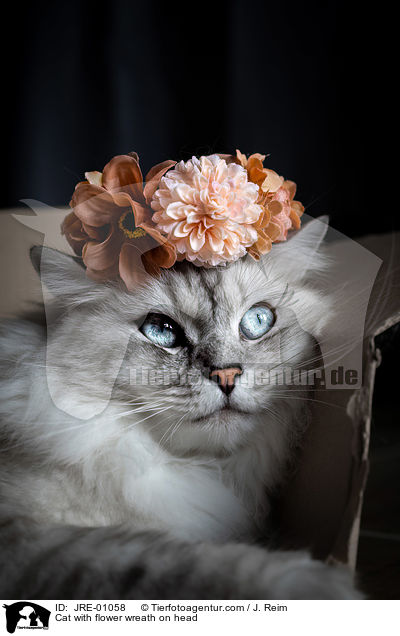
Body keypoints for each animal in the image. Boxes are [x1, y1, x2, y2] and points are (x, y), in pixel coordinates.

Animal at [0, 216, 360, 600]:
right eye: (161, 330)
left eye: (258, 321)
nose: (226, 375)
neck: (203, 470)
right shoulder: (31, 539)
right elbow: (170, 563)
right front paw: (323, 584)